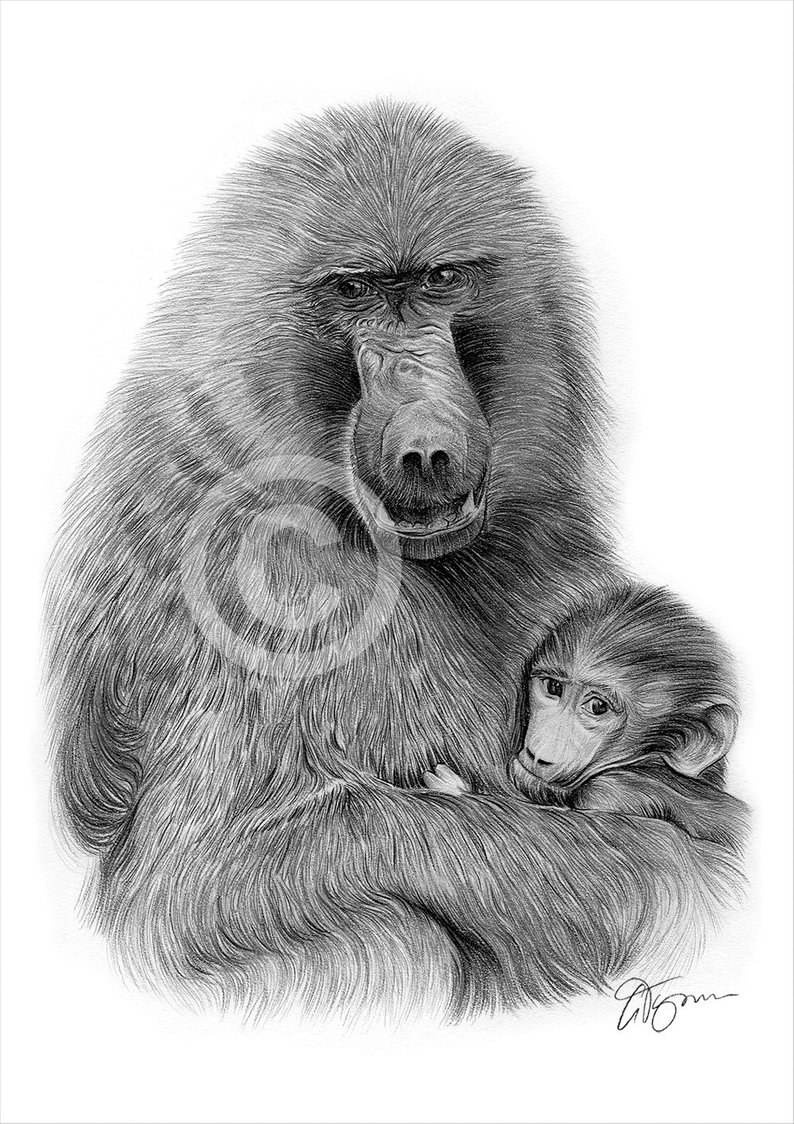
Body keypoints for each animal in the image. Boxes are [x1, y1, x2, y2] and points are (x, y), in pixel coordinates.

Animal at [423, 583, 748, 852]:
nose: (537, 753)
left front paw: (454, 789)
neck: (647, 763)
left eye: (598, 707)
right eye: (553, 688)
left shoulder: (608, 792)